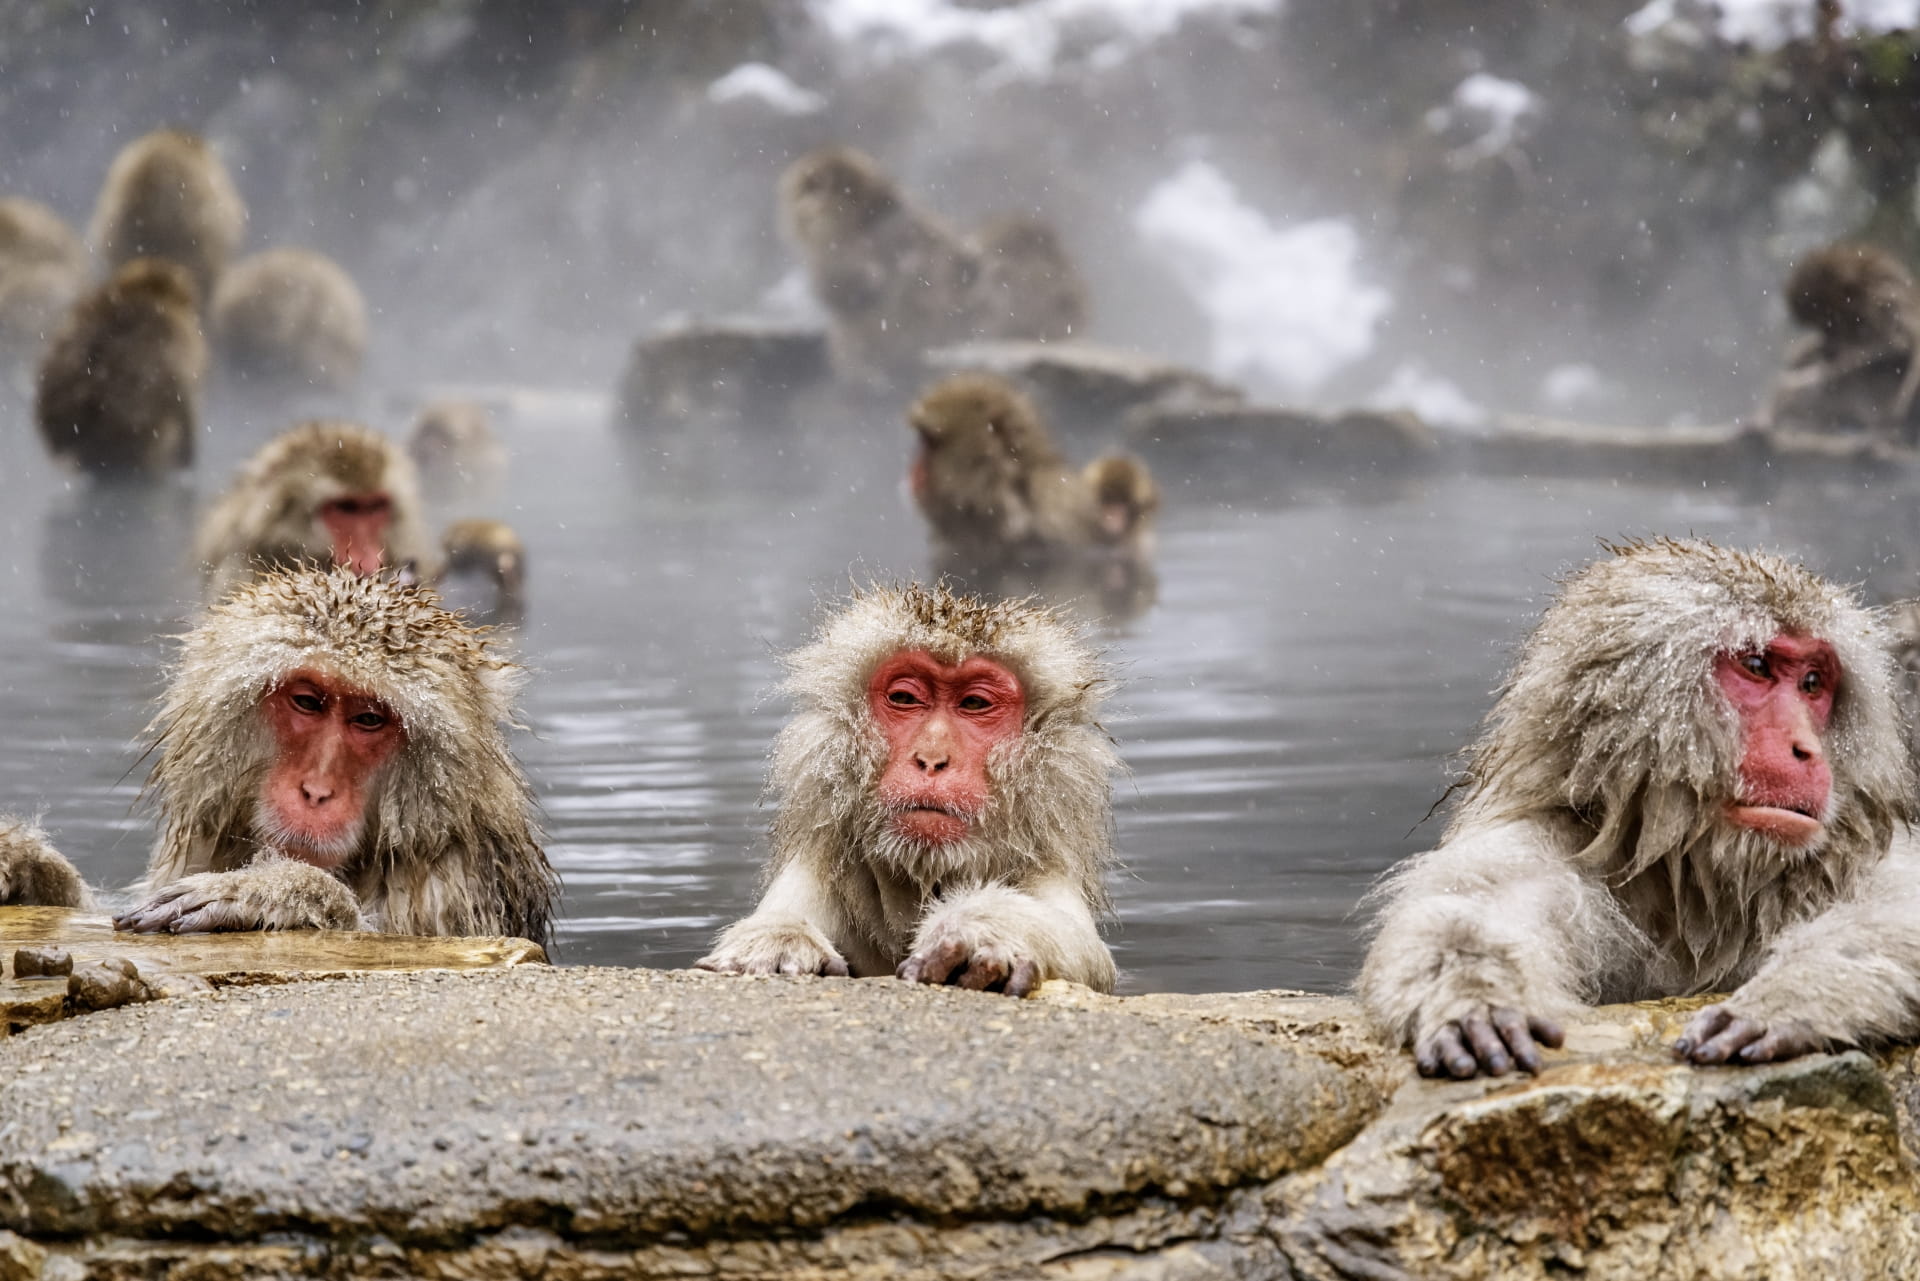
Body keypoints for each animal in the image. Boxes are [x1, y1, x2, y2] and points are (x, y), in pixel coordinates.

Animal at [1359, 538, 1920, 1079]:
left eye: (1812, 683)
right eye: (1757, 667)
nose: (1806, 750)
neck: (1693, 880)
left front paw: (1786, 1002)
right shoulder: (1539, 848)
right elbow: (1470, 914)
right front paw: (1477, 1002)